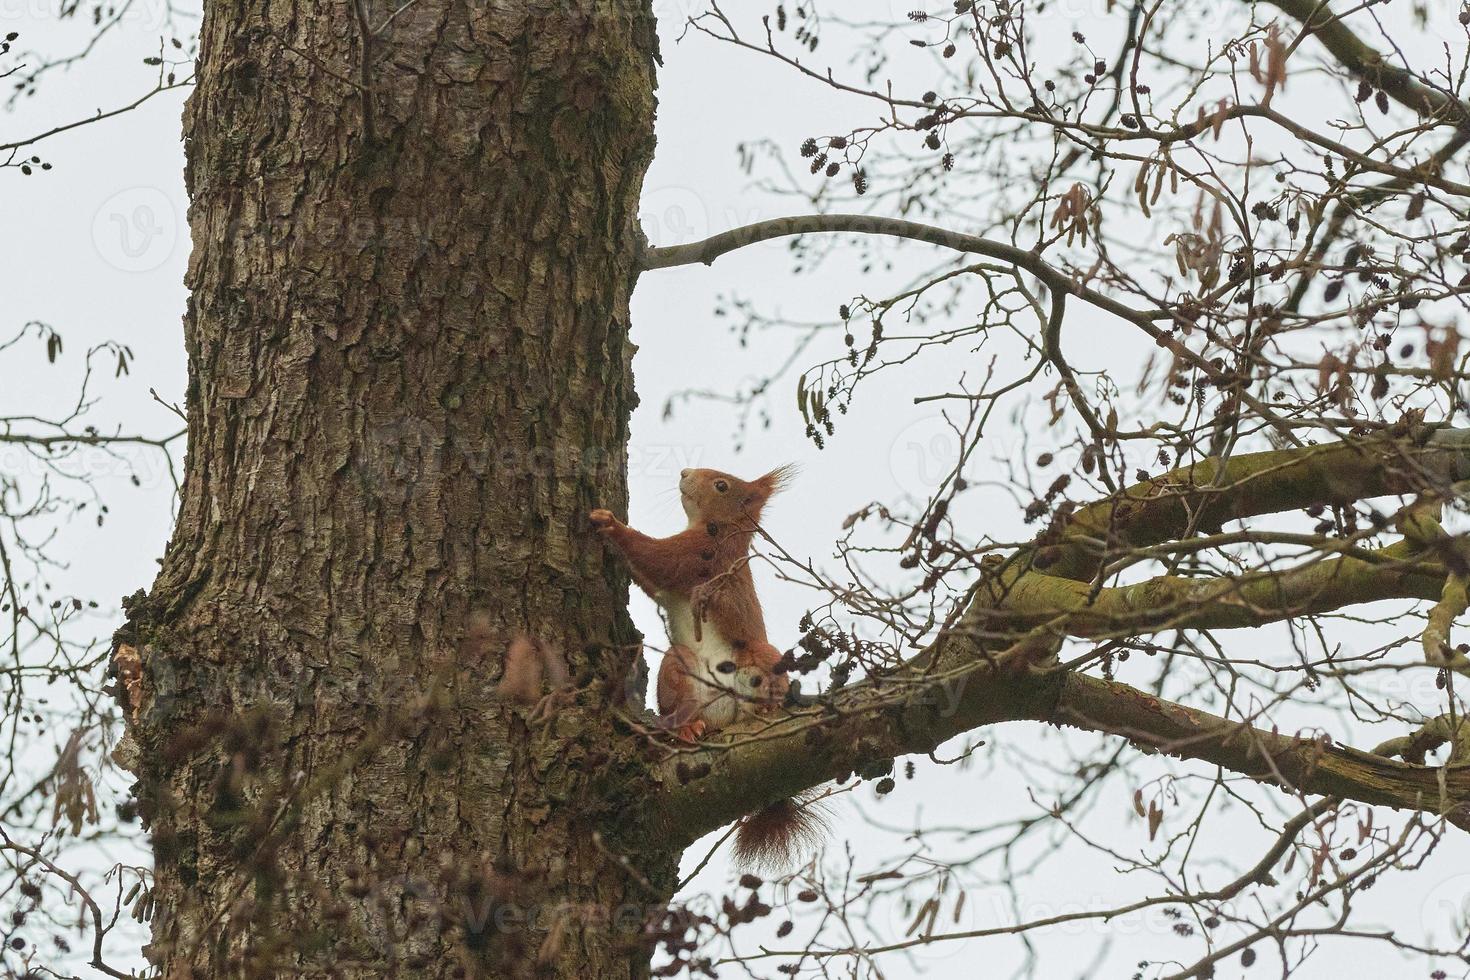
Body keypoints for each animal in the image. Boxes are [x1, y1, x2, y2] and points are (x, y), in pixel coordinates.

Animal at [588, 467, 823, 863]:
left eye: (721, 485)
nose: (685, 472)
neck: (722, 529)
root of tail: (726, 717)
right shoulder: (670, 584)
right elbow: (650, 579)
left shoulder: (701, 553)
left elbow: (657, 557)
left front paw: (612, 525)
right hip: (680, 665)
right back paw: (686, 727)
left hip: (762, 657)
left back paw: (770, 708)